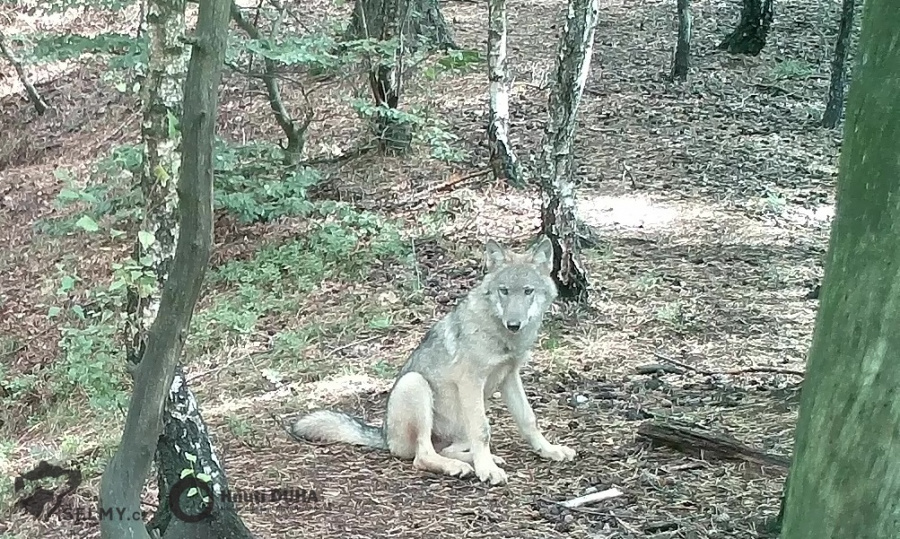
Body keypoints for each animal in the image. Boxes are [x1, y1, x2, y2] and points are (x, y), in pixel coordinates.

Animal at [292, 236, 580, 486]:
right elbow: (483, 430)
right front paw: (487, 471)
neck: (502, 336)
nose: (514, 324)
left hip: (458, 421)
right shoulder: (471, 382)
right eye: (504, 291)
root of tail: (384, 436)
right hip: (416, 384)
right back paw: (462, 466)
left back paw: (477, 460)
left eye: (528, 291)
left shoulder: (509, 376)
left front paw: (549, 450)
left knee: (448, 449)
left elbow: (528, 419)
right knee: (422, 456)